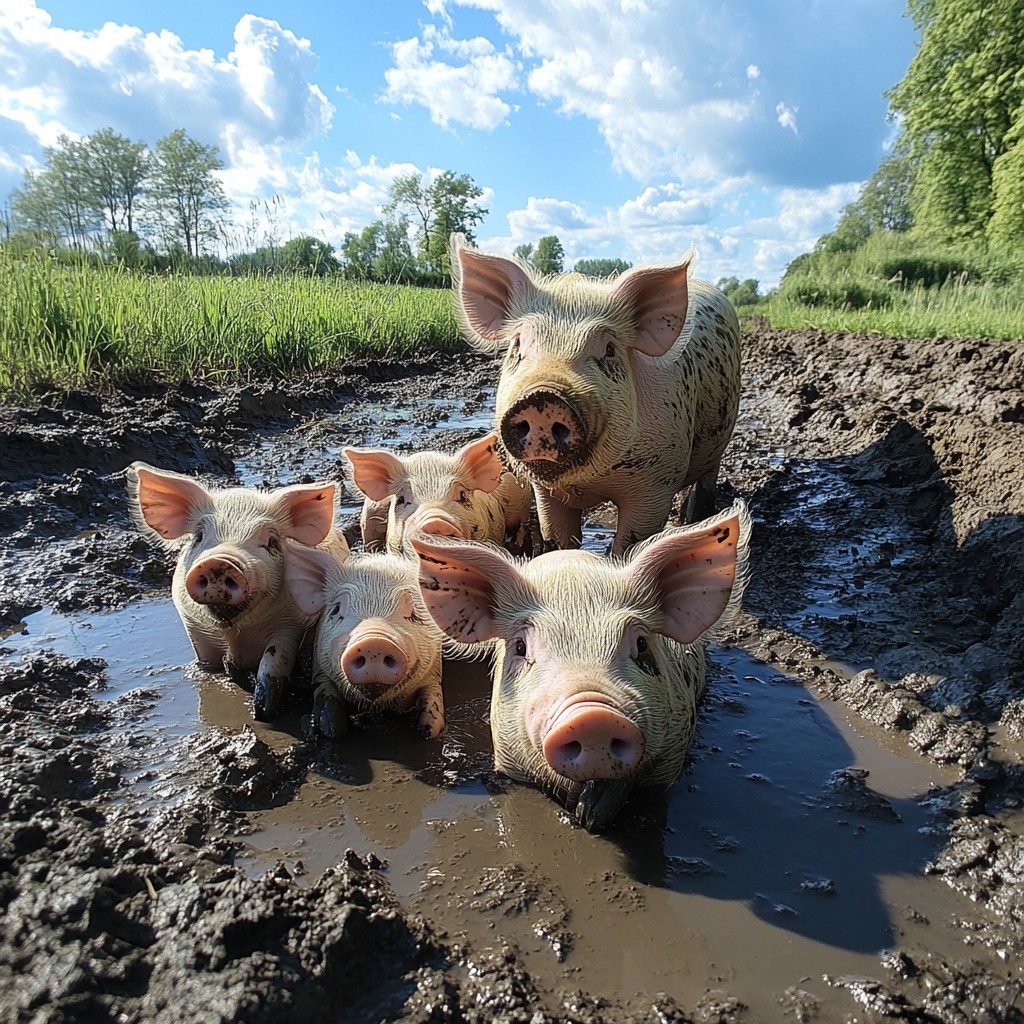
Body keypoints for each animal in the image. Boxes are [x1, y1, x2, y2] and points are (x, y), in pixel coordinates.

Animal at [127, 462, 349, 720]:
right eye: (198, 536)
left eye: (271, 542)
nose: (219, 561)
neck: (235, 634)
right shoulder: (194, 628)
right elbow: (208, 666)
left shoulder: (290, 625)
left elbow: (273, 664)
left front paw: (262, 713)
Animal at [284, 538, 455, 739]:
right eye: (336, 609)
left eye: (415, 612)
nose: (374, 643)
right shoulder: (320, 669)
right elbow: (327, 700)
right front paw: (332, 730)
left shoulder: (433, 673)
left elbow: (433, 702)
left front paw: (425, 733)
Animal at [412, 500, 750, 830]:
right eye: (521, 647)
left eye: (642, 644)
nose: (593, 717)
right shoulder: (508, 757)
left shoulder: (672, 753)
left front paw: (589, 815)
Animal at [451, 234, 741, 556]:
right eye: (517, 345)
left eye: (609, 350)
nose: (542, 396)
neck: (590, 481)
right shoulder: (545, 492)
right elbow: (558, 537)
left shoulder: (656, 483)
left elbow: (631, 543)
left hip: (719, 441)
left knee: (706, 480)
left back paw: (693, 519)